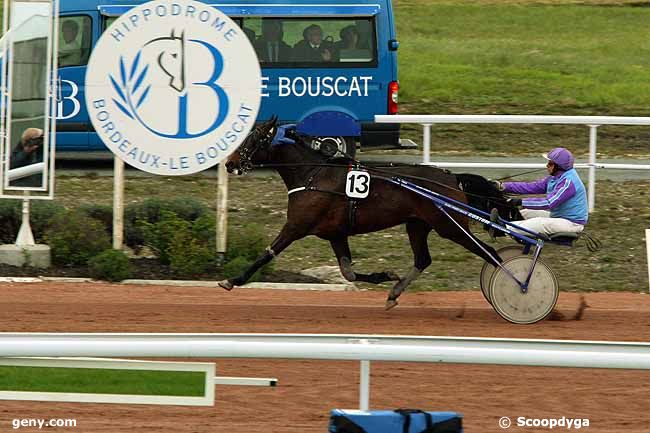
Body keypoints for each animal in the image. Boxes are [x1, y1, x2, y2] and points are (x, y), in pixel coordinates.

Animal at [219, 116, 516, 308]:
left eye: (254, 139)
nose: (230, 163)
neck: (312, 174)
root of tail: (452, 178)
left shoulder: (296, 226)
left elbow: (267, 254)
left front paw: (232, 280)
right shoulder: (335, 234)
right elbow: (348, 272)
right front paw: (385, 276)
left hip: (450, 226)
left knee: (489, 253)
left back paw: (516, 285)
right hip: (417, 224)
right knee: (423, 259)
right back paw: (395, 292)